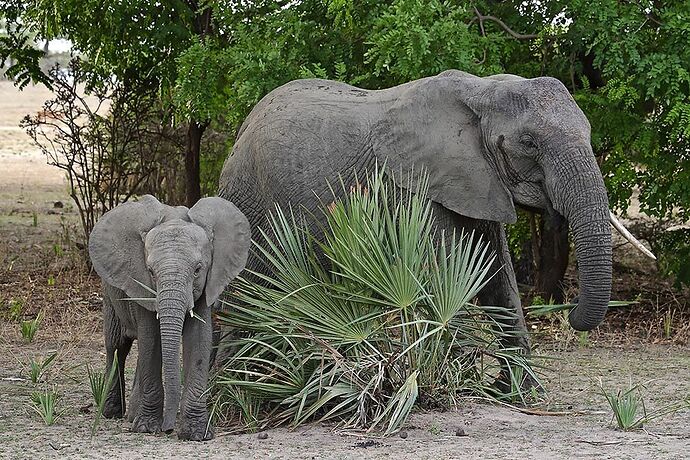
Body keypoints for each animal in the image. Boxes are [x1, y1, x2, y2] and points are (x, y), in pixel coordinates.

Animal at [88, 193, 250, 438]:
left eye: (198, 269)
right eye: (151, 272)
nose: (169, 428)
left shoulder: (206, 286)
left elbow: (198, 339)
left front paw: (197, 434)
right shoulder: (142, 284)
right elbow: (151, 340)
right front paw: (147, 428)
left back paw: (132, 415)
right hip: (108, 291)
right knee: (116, 346)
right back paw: (112, 412)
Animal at [219, 70, 628, 352]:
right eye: (529, 142)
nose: (567, 312)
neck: (482, 92)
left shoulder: (480, 182)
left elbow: (498, 275)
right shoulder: (415, 187)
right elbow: (448, 271)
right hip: (247, 197)